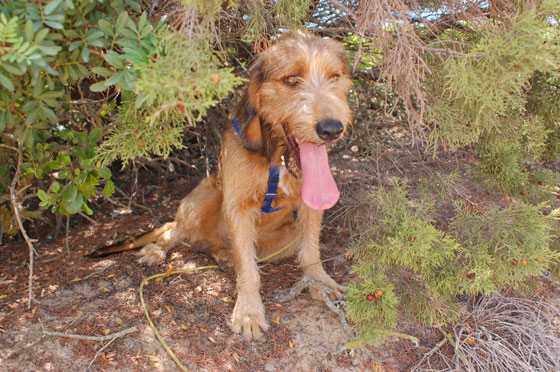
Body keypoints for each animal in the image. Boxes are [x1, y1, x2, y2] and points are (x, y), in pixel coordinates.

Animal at [88, 32, 350, 340]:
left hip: (284, 237)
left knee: (214, 247)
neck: (275, 156)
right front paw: (249, 311)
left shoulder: (309, 203)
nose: (332, 129)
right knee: (175, 231)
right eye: (291, 79)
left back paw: (225, 256)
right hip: (204, 196)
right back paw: (157, 250)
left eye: (334, 76)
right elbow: (248, 270)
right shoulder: (237, 206)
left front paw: (319, 282)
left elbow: (310, 250)